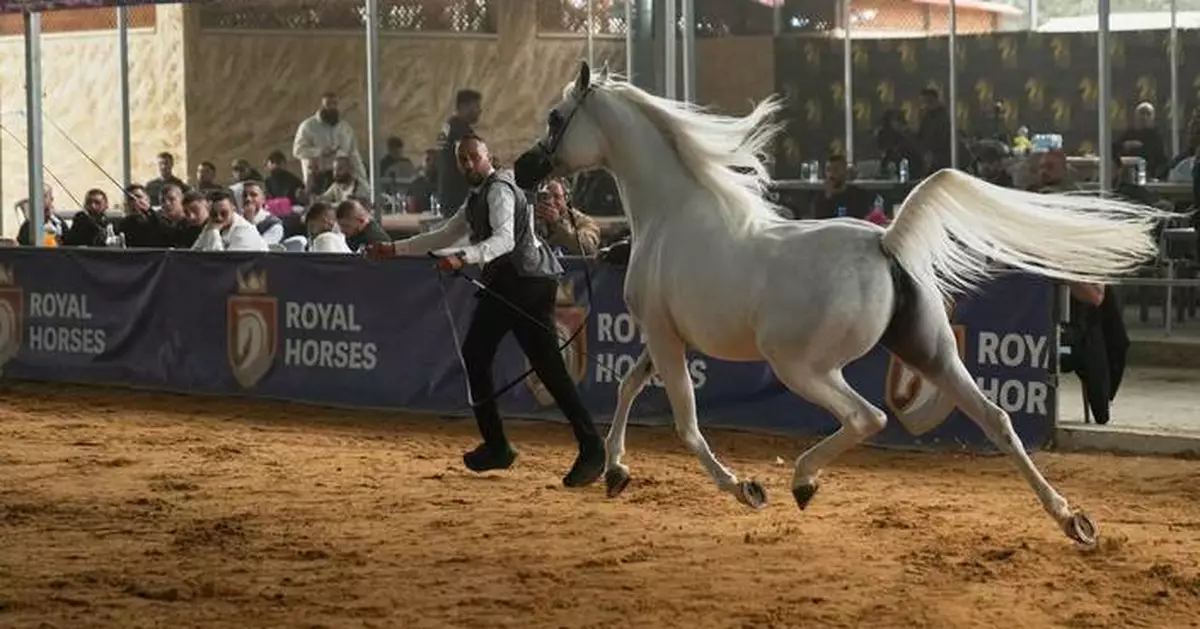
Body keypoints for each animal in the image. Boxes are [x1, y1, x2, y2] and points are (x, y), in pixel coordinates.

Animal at [513, 62, 1171, 546]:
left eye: (556, 116)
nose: (524, 167)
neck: (672, 216)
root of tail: (885, 241)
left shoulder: (664, 336)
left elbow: (687, 424)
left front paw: (745, 489)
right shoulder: (664, 338)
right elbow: (628, 388)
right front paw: (616, 473)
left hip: (803, 367)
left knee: (869, 417)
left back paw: (802, 481)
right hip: (930, 352)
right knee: (996, 419)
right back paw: (1072, 520)